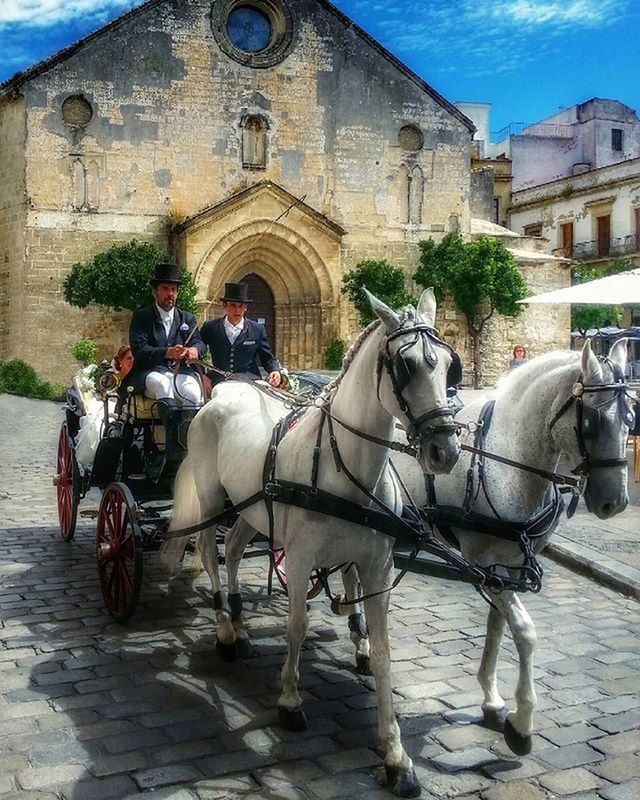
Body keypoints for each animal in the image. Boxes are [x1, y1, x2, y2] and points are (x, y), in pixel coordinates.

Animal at [160, 288, 460, 792]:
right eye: (404, 365)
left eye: (449, 368)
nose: (445, 450)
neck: (349, 471)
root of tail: (220, 392)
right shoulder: (299, 561)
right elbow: (296, 628)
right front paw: (290, 700)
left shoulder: (376, 569)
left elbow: (382, 651)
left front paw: (396, 755)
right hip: (212, 497)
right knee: (208, 552)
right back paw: (225, 628)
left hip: (253, 508)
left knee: (235, 548)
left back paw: (240, 622)